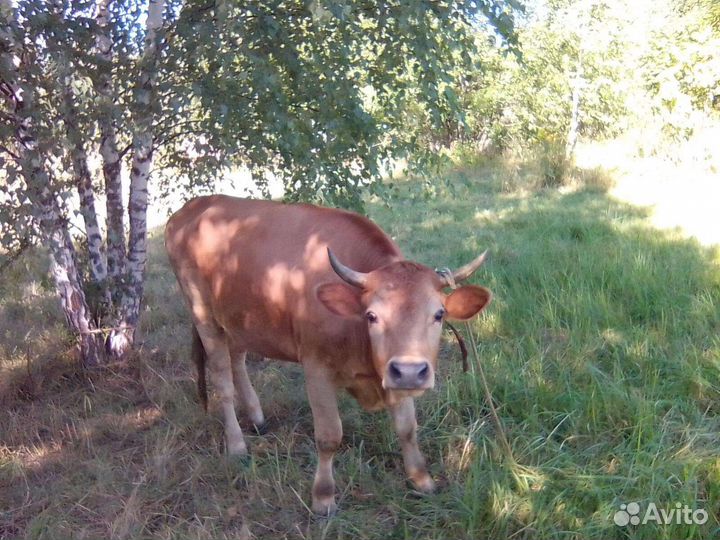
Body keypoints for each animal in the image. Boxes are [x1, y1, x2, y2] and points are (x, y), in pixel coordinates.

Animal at [164, 195, 492, 515]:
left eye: (439, 314)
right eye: (371, 316)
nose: (410, 372)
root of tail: (191, 207)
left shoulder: (394, 376)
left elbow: (407, 428)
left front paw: (421, 479)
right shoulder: (316, 369)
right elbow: (329, 435)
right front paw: (323, 497)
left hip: (238, 320)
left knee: (237, 359)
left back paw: (257, 417)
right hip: (202, 314)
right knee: (222, 379)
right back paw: (236, 444)